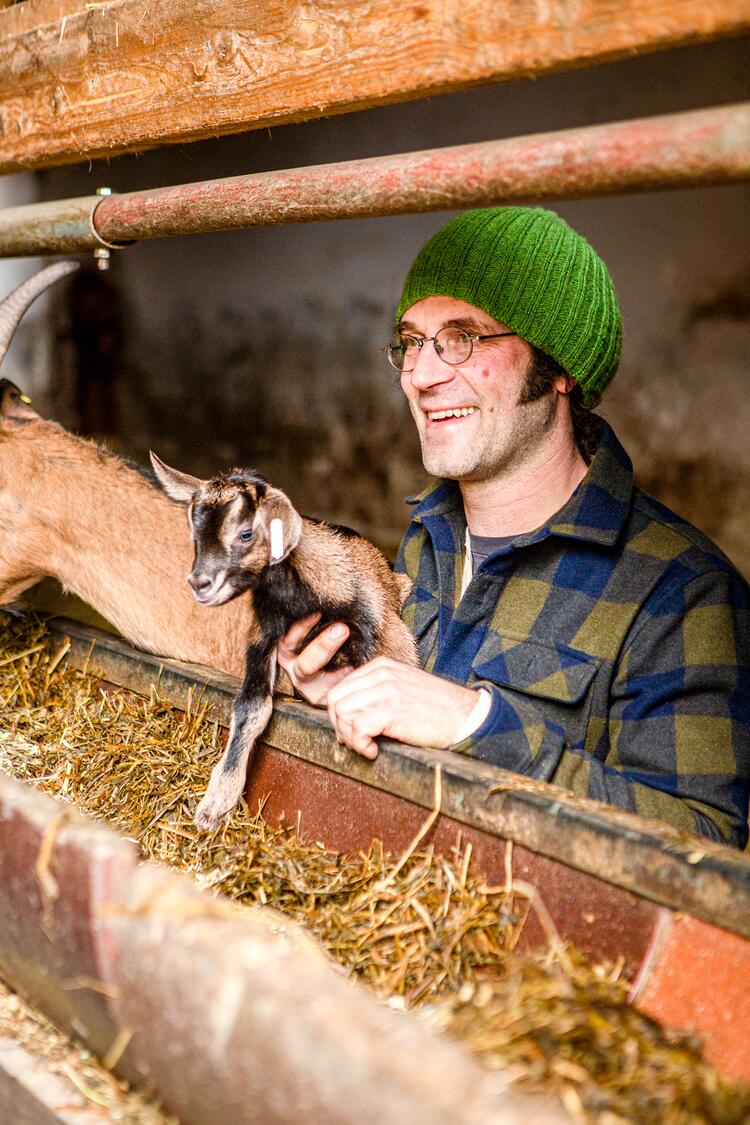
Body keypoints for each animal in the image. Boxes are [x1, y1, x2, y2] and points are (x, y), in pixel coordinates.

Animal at [149, 452, 420, 832]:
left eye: (246, 533)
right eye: (194, 534)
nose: (199, 583)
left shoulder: (382, 636)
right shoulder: (263, 639)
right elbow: (251, 709)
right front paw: (215, 805)